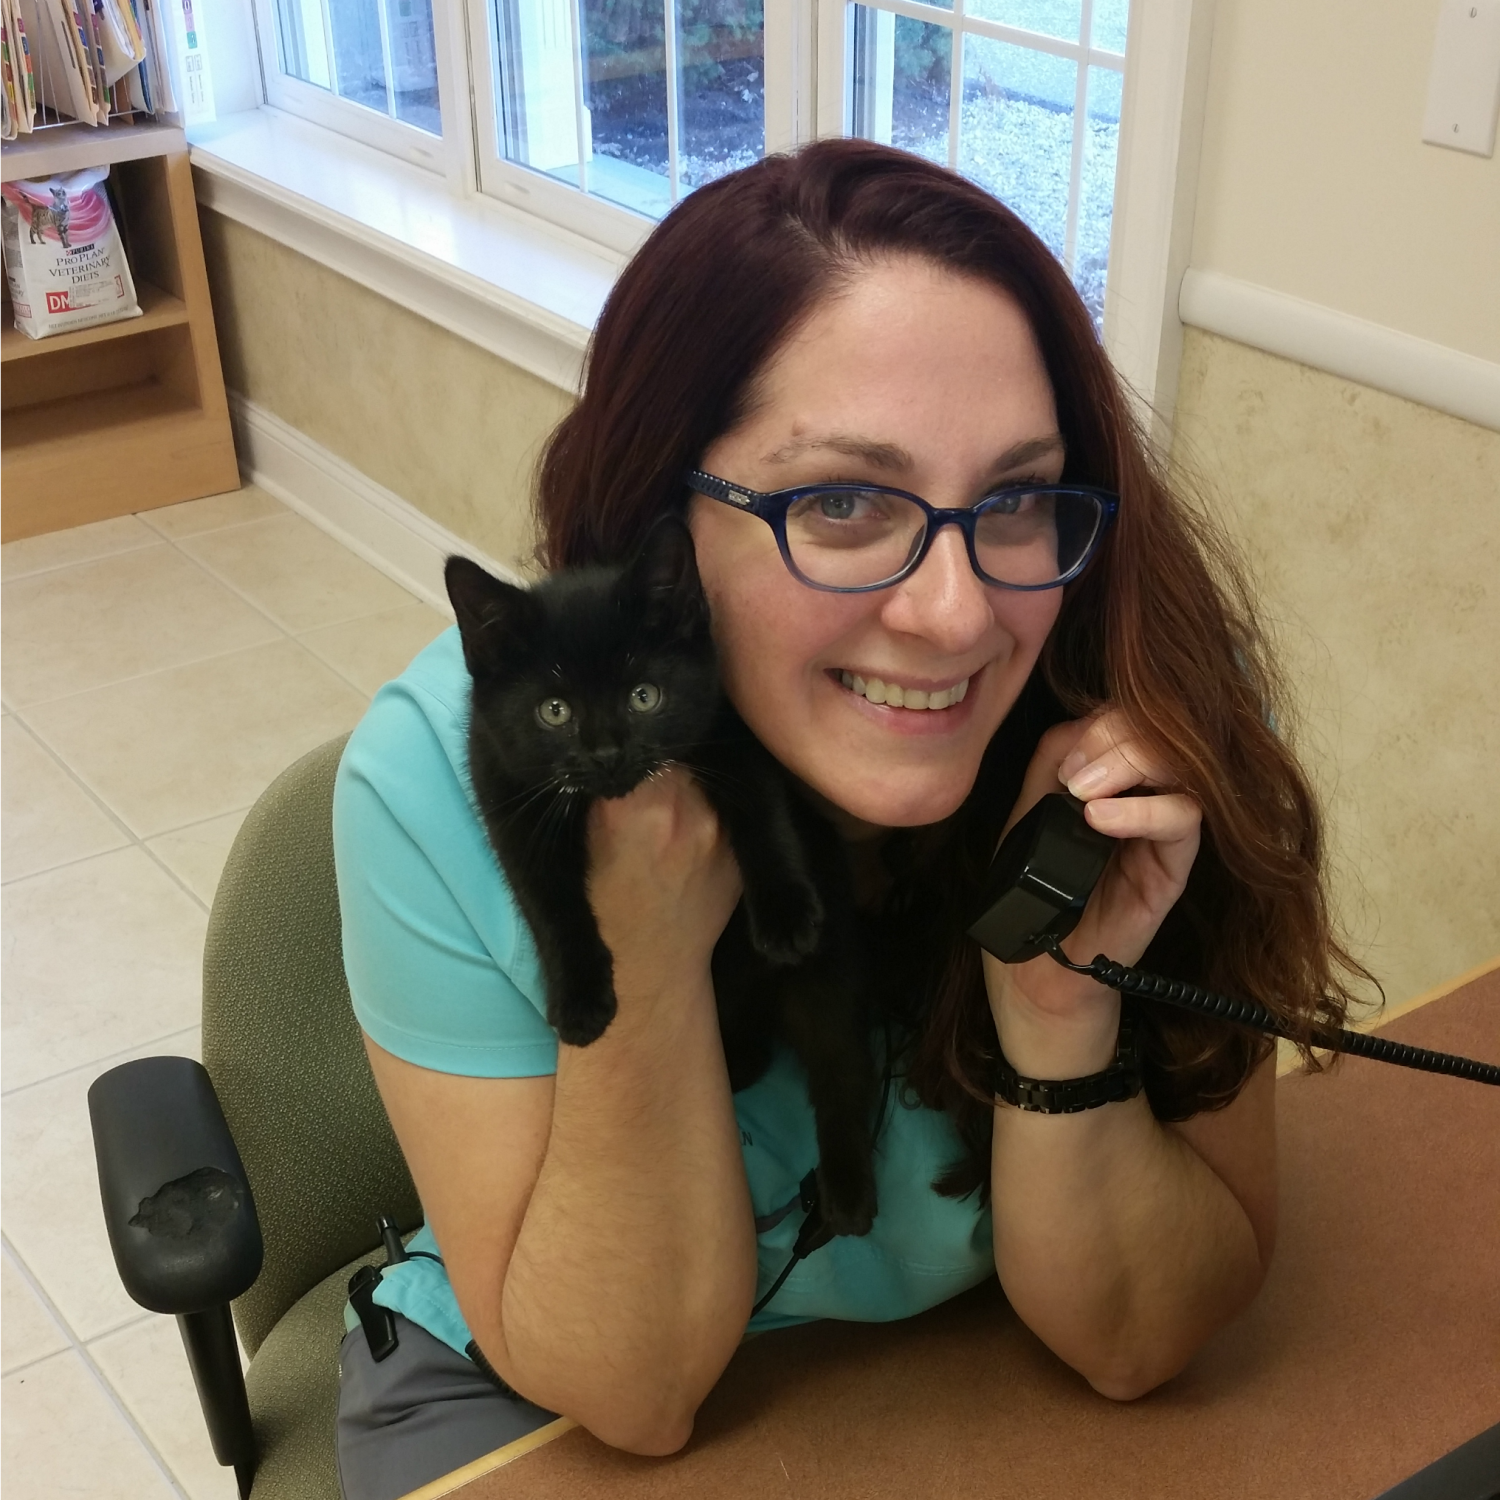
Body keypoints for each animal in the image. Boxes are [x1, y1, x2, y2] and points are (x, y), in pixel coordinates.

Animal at [450, 522, 882, 1236]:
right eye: (554, 711)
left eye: (643, 696)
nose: (605, 753)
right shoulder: (507, 796)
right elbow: (549, 903)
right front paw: (580, 1003)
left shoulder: (731, 732)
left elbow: (763, 812)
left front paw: (785, 913)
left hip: (828, 965)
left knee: (840, 1063)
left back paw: (848, 1193)